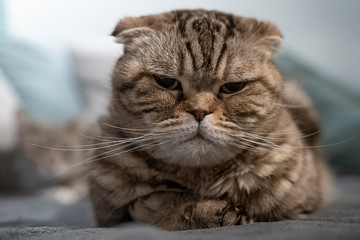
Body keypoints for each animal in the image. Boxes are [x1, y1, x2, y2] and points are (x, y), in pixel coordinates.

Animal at [88, 9, 330, 231]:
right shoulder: (109, 214)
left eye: (233, 87)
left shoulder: (302, 204)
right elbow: (160, 206)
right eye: (166, 82)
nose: (199, 111)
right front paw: (210, 211)